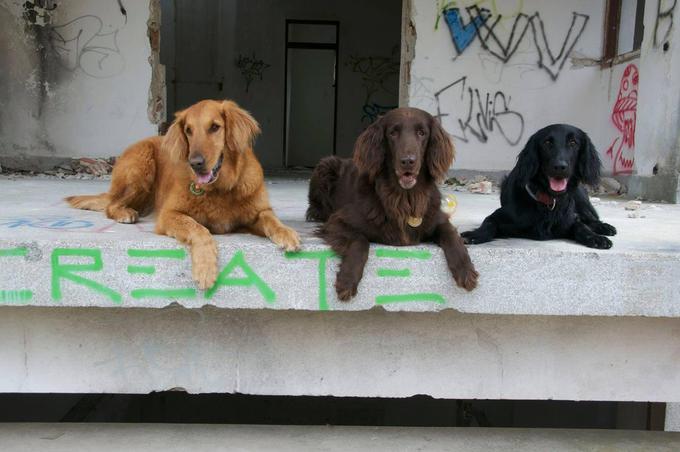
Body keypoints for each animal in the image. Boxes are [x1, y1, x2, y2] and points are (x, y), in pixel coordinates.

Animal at [67, 99, 300, 290]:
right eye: (188, 130)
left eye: (215, 127)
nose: (195, 163)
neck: (220, 188)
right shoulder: (169, 214)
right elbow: (199, 229)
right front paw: (205, 268)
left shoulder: (257, 212)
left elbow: (271, 219)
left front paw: (287, 233)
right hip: (141, 166)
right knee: (111, 204)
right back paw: (126, 213)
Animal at [308, 107, 478, 302]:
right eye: (393, 132)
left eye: (422, 133)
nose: (408, 161)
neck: (404, 197)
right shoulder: (338, 221)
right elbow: (360, 241)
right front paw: (347, 279)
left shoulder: (437, 218)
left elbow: (451, 234)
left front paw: (465, 269)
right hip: (325, 165)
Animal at [462, 123, 616, 249]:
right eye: (547, 142)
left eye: (573, 142)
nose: (560, 167)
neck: (548, 202)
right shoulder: (500, 216)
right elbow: (489, 223)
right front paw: (475, 234)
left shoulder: (569, 220)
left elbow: (581, 226)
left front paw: (595, 238)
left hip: (581, 199)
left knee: (590, 219)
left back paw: (604, 227)